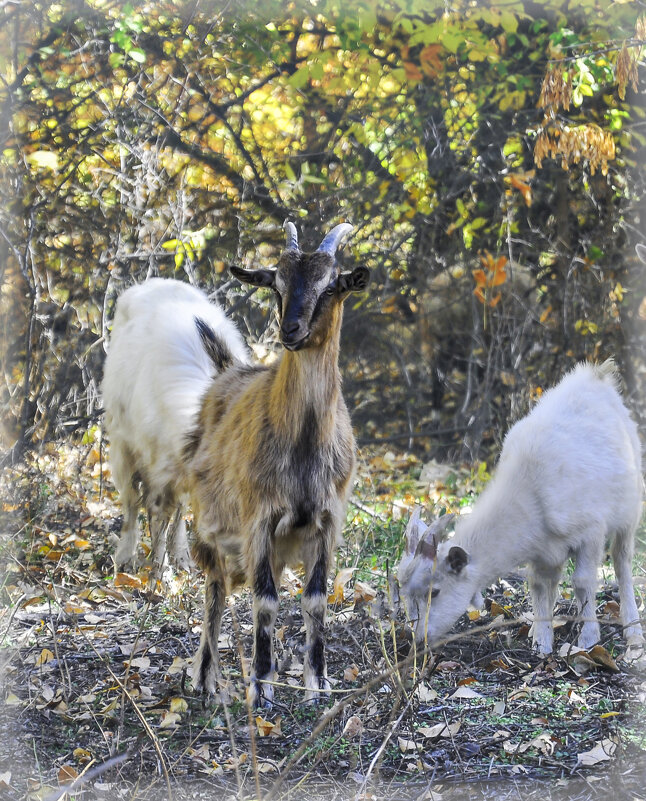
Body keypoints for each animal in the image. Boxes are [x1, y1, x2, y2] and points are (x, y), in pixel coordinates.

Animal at [104, 220, 372, 708]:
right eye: (277, 285)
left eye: (331, 286)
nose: (290, 330)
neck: (303, 443)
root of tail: (223, 375)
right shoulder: (259, 520)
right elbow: (264, 602)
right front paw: (262, 687)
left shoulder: (326, 521)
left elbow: (315, 600)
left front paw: (316, 683)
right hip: (197, 506)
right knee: (213, 585)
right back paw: (205, 676)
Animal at [398, 360, 644, 652]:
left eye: (434, 591)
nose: (418, 640)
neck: (530, 493)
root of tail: (597, 375)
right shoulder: (539, 548)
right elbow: (538, 583)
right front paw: (541, 642)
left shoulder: (591, 530)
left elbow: (583, 581)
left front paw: (588, 639)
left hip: (630, 509)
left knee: (622, 560)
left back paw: (633, 630)